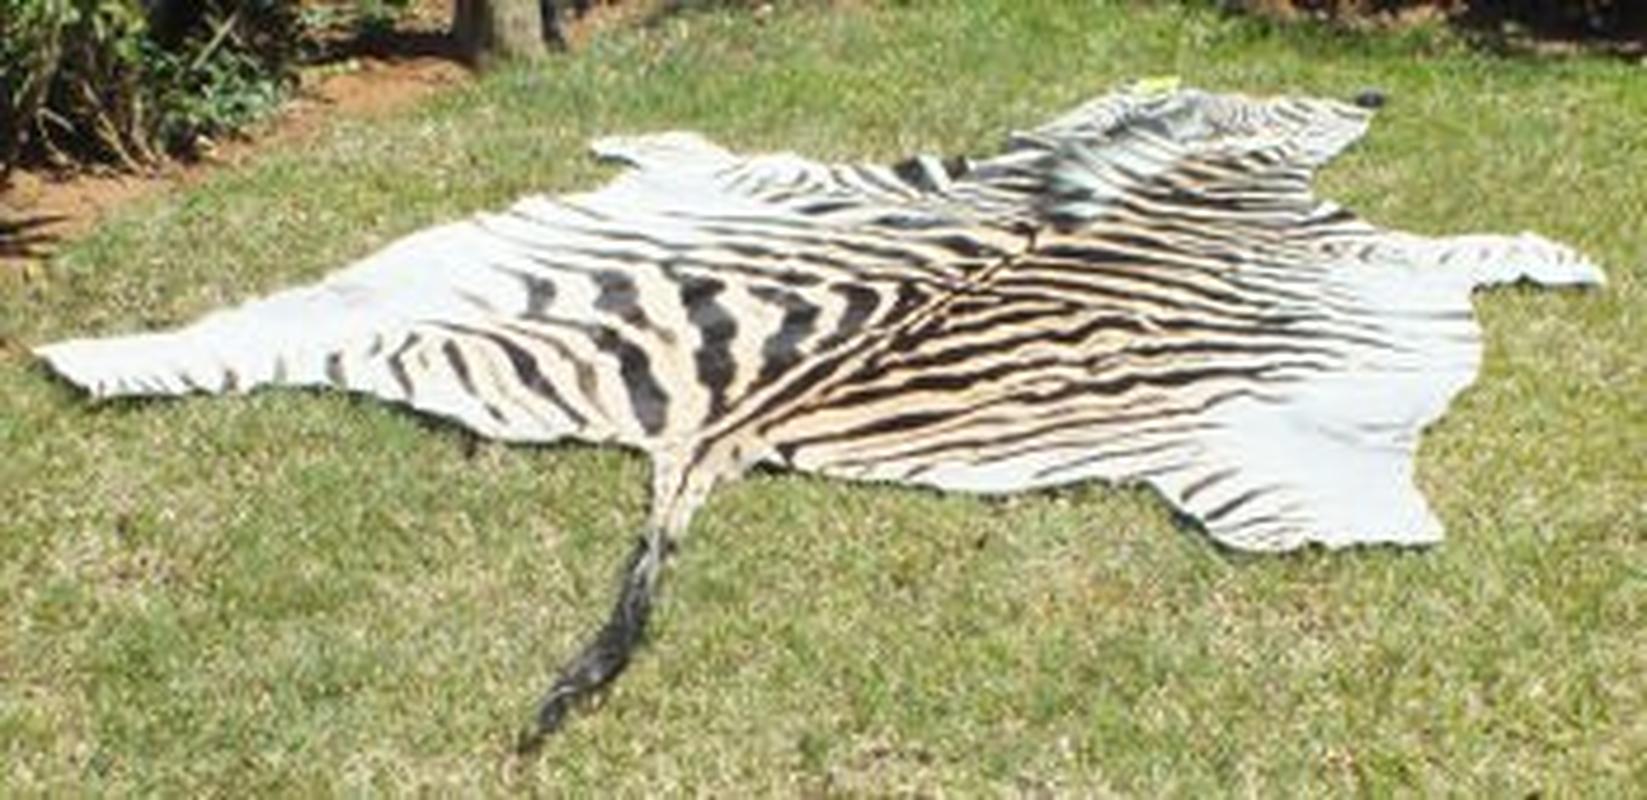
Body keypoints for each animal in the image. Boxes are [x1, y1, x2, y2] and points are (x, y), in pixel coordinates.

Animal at [33, 81, 1606, 748]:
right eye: (1291, 94)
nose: (1373, 89)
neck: (1171, 164)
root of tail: (717, 424)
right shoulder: (1376, 251)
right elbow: (1471, 247)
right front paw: (1574, 257)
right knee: (1303, 525)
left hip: (429, 306)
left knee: (249, 340)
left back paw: (78, 357)